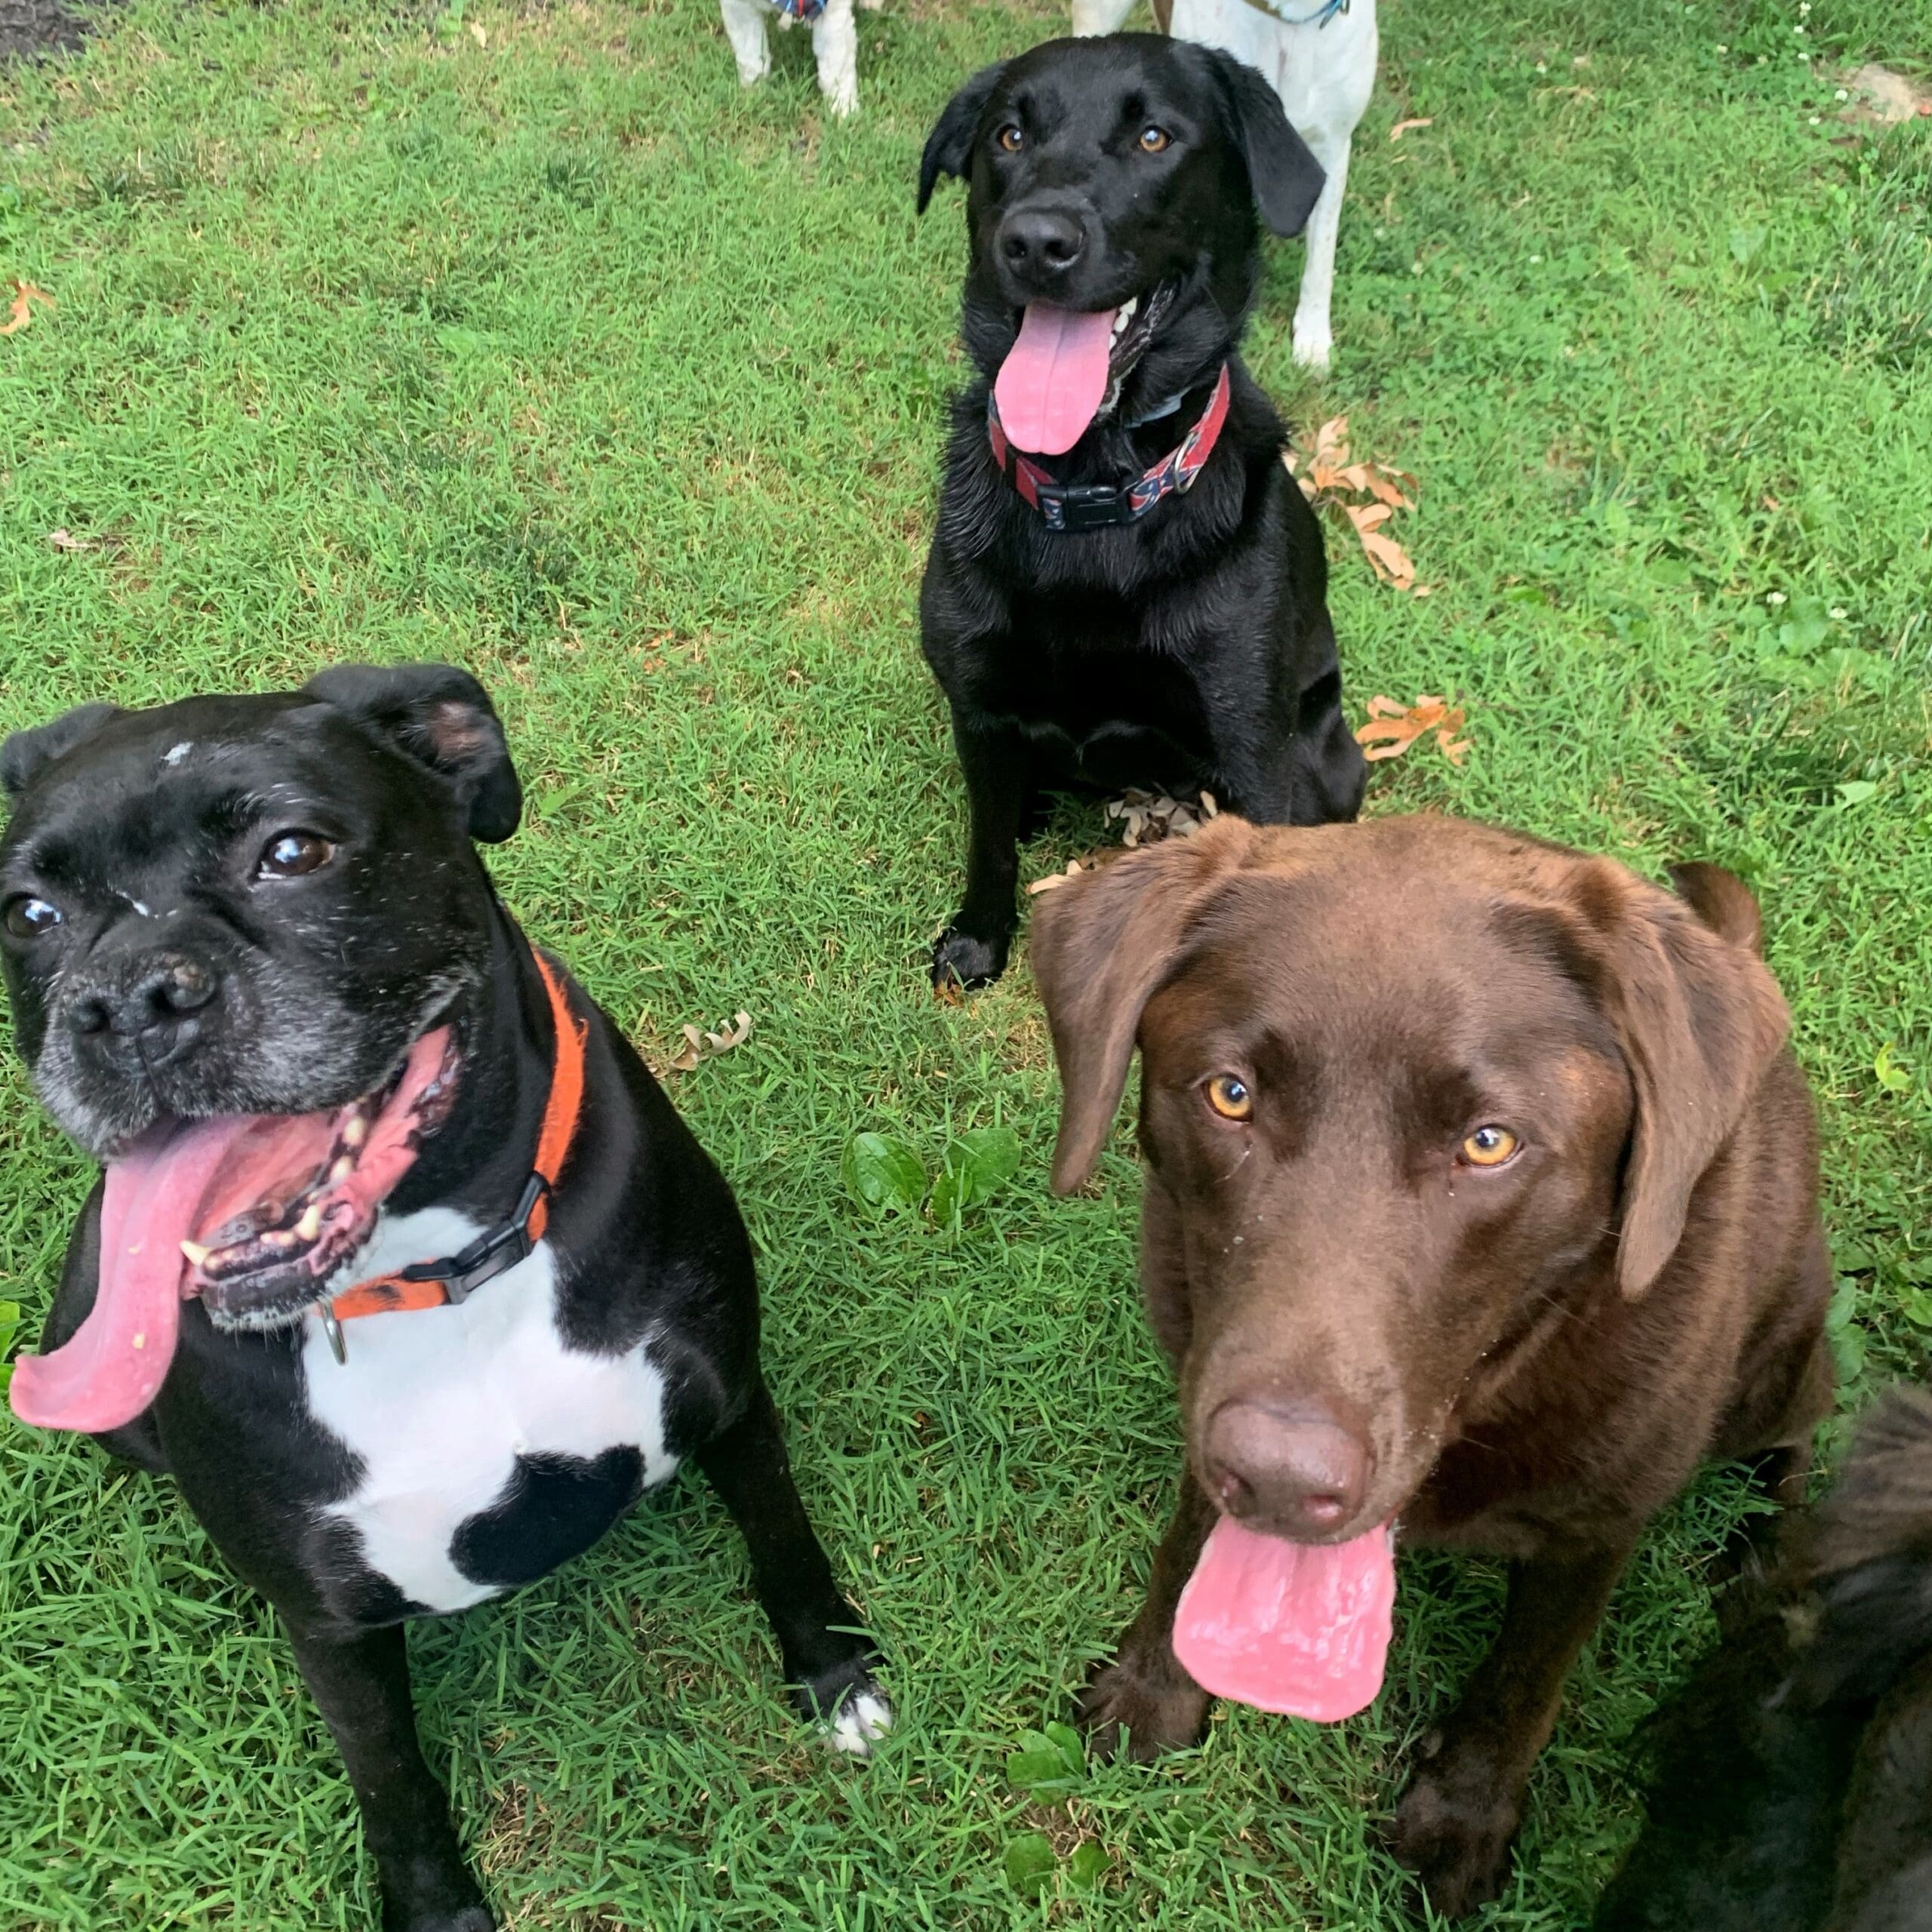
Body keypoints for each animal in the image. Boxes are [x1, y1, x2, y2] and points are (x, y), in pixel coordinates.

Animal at [0, 668, 888, 1932]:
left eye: (293, 849)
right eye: (29, 915)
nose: (123, 1002)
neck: (437, 1279)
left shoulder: (730, 1399)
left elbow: (787, 1543)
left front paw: (836, 1674)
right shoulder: (327, 1620)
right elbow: (392, 1777)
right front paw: (434, 1907)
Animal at [722, 0, 881, 119]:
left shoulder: (832, 14)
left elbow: (836, 69)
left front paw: (843, 109)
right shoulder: (739, 9)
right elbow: (751, 58)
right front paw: (754, 94)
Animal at [915, 35, 1360, 989]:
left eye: (1153, 137)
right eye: (1008, 135)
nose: (1035, 241)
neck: (1093, 493)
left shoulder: (1252, 749)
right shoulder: (977, 707)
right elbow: (987, 843)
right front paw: (977, 938)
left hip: (1326, 763)